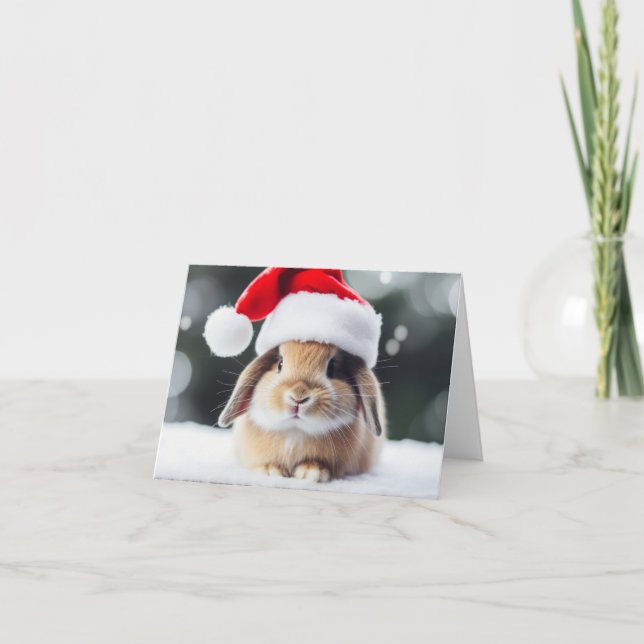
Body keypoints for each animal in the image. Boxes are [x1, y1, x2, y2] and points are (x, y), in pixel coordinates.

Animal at [217, 340, 386, 482]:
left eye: (331, 368)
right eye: (280, 364)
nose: (298, 397)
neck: (295, 430)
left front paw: (312, 473)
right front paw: (271, 471)